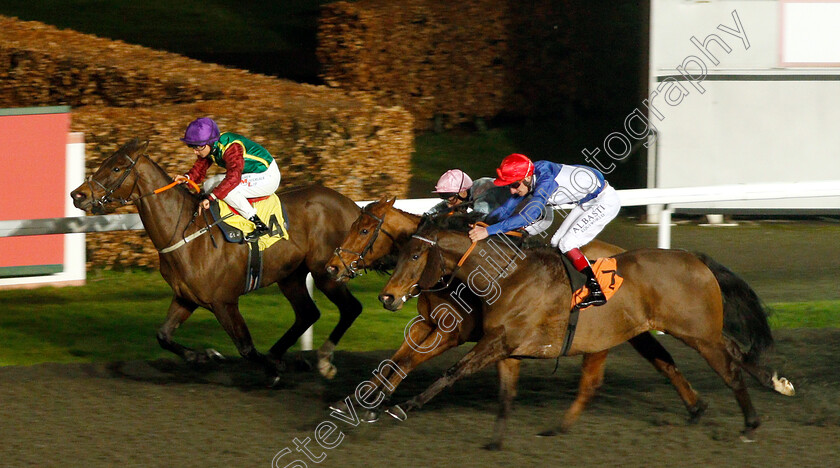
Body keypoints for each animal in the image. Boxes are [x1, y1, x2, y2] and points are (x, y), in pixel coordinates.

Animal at [324, 197, 712, 424]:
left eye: (363, 229)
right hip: (635, 326)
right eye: (351, 225)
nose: (331, 267)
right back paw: (694, 404)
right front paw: (354, 400)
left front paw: (376, 403)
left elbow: (407, 363)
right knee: (661, 358)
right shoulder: (426, 322)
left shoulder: (452, 332)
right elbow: (395, 360)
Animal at [378, 218, 796, 448]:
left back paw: (750, 424)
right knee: (723, 355)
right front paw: (495, 441)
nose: (387, 296)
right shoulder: (505, 346)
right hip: (674, 329)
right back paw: (767, 387)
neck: (506, 276)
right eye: (397, 253)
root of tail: (694, 257)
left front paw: (403, 406)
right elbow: (505, 393)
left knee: (730, 369)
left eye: (414, 255)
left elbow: (453, 371)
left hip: (697, 332)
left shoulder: (498, 340)